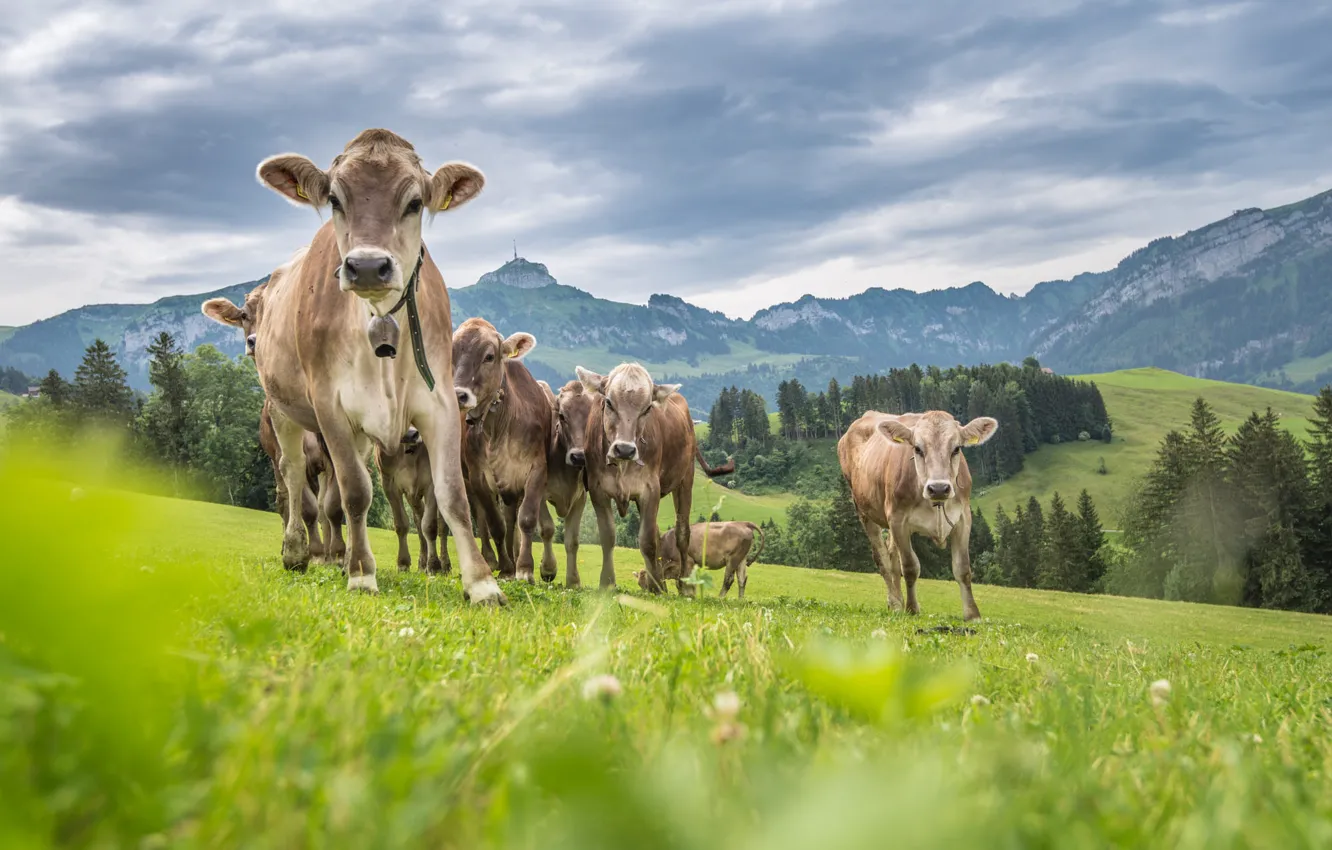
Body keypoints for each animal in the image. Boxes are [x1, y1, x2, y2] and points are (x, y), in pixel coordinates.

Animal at [375, 427, 450, 574]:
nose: (411, 434)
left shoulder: (431, 483)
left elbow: (430, 526)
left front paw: (434, 565)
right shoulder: (388, 483)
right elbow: (401, 524)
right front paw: (403, 563)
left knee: (442, 524)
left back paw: (445, 564)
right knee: (419, 518)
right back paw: (422, 563)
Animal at [451, 317, 552, 583]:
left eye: (489, 356)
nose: (459, 395)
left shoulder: (537, 469)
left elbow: (525, 519)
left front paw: (524, 568)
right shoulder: (478, 477)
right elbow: (495, 524)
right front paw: (507, 567)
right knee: (482, 518)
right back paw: (491, 559)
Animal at [573, 363, 734, 592]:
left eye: (647, 408)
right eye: (609, 402)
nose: (625, 449)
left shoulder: (650, 489)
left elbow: (647, 542)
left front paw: (657, 588)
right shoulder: (598, 490)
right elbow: (608, 537)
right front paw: (607, 583)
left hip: (686, 478)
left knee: (682, 533)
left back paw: (683, 586)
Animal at [634, 520, 764, 599]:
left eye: (647, 583)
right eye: (639, 584)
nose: (648, 595)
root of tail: (743, 523)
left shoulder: (688, 562)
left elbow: (684, 580)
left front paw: (688, 595)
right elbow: (680, 581)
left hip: (733, 559)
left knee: (728, 580)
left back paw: (720, 598)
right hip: (741, 559)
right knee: (742, 580)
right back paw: (740, 599)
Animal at [837, 410, 998, 621]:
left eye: (956, 449)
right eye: (918, 448)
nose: (939, 488)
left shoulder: (964, 518)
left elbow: (963, 568)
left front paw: (973, 615)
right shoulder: (898, 520)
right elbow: (910, 567)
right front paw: (912, 609)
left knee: (891, 556)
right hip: (864, 510)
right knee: (883, 559)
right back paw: (896, 604)